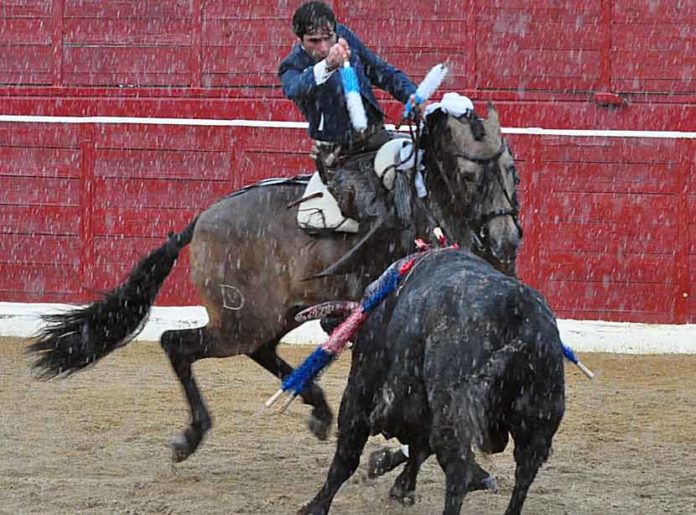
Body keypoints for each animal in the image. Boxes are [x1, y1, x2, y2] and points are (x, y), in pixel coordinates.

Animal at [31, 104, 520, 464]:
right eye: (471, 176)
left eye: (512, 169)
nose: (507, 240)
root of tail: (201, 220)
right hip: (241, 320)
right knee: (178, 343)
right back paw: (193, 435)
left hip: (275, 314)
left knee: (262, 350)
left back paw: (318, 409)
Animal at [300, 248, 564, 512]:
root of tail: (521, 317)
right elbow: (418, 448)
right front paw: (400, 484)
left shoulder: (361, 389)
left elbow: (347, 455)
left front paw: (316, 506)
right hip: (539, 420)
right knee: (525, 472)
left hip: (452, 414)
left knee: (459, 470)